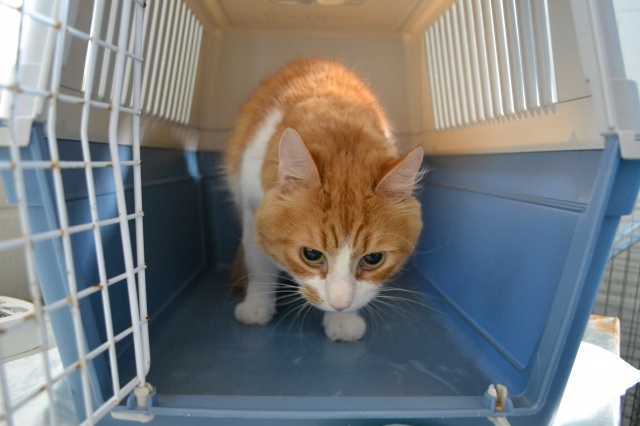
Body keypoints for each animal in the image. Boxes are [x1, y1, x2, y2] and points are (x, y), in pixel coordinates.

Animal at [224, 58, 424, 342]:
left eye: (373, 259)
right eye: (311, 254)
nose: (340, 304)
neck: (336, 119)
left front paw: (343, 320)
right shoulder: (253, 212)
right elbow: (259, 266)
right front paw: (257, 304)